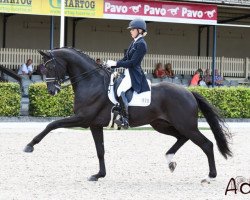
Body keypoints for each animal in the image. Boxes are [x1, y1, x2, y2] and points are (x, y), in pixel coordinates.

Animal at [23, 47, 232, 183]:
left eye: (50, 67)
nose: (52, 91)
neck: (90, 81)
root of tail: (188, 92)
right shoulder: (94, 124)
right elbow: (100, 150)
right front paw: (99, 175)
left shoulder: (83, 119)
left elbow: (52, 124)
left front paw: (29, 145)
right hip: (162, 125)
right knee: (182, 138)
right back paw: (170, 160)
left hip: (185, 125)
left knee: (206, 144)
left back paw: (210, 176)